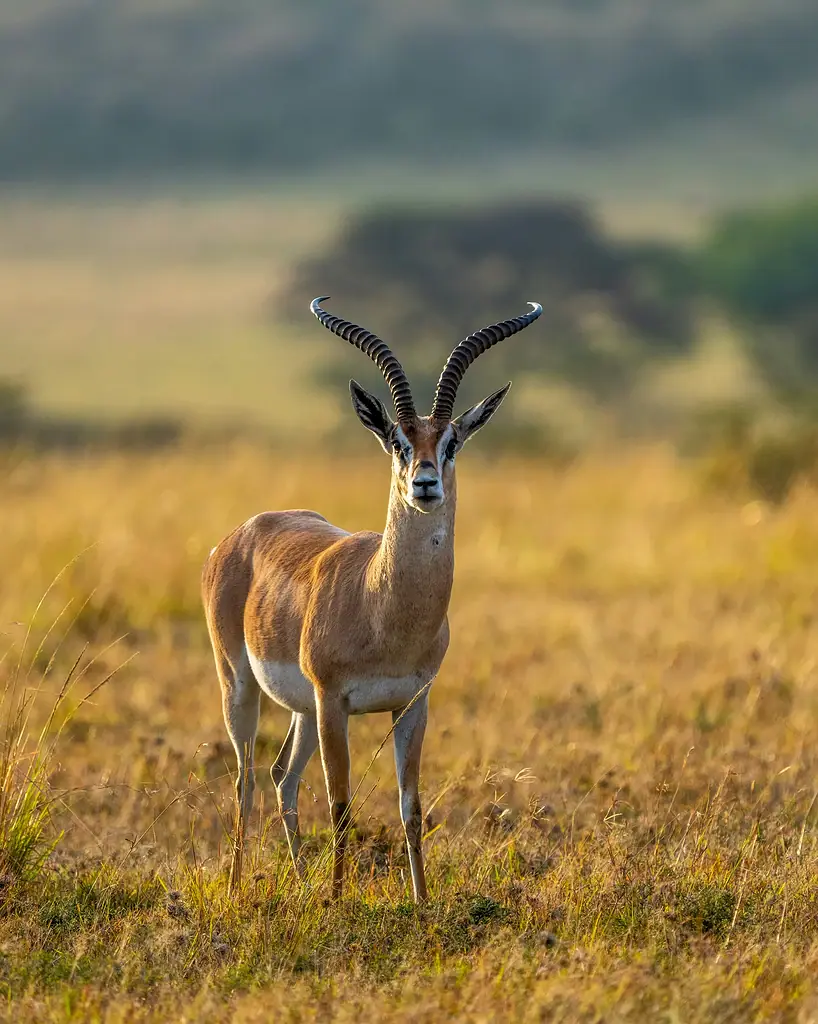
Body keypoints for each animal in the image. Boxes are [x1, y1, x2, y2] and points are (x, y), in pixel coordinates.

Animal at [202, 297, 542, 899]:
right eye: (398, 443)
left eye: (451, 443)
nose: (424, 482)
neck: (382, 608)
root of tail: (241, 533)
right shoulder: (335, 701)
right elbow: (341, 806)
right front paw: (339, 902)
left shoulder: (412, 703)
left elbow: (411, 807)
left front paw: (422, 901)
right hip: (240, 685)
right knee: (245, 778)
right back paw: (241, 887)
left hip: (303, 710)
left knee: (282, 776)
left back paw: (300, 881)